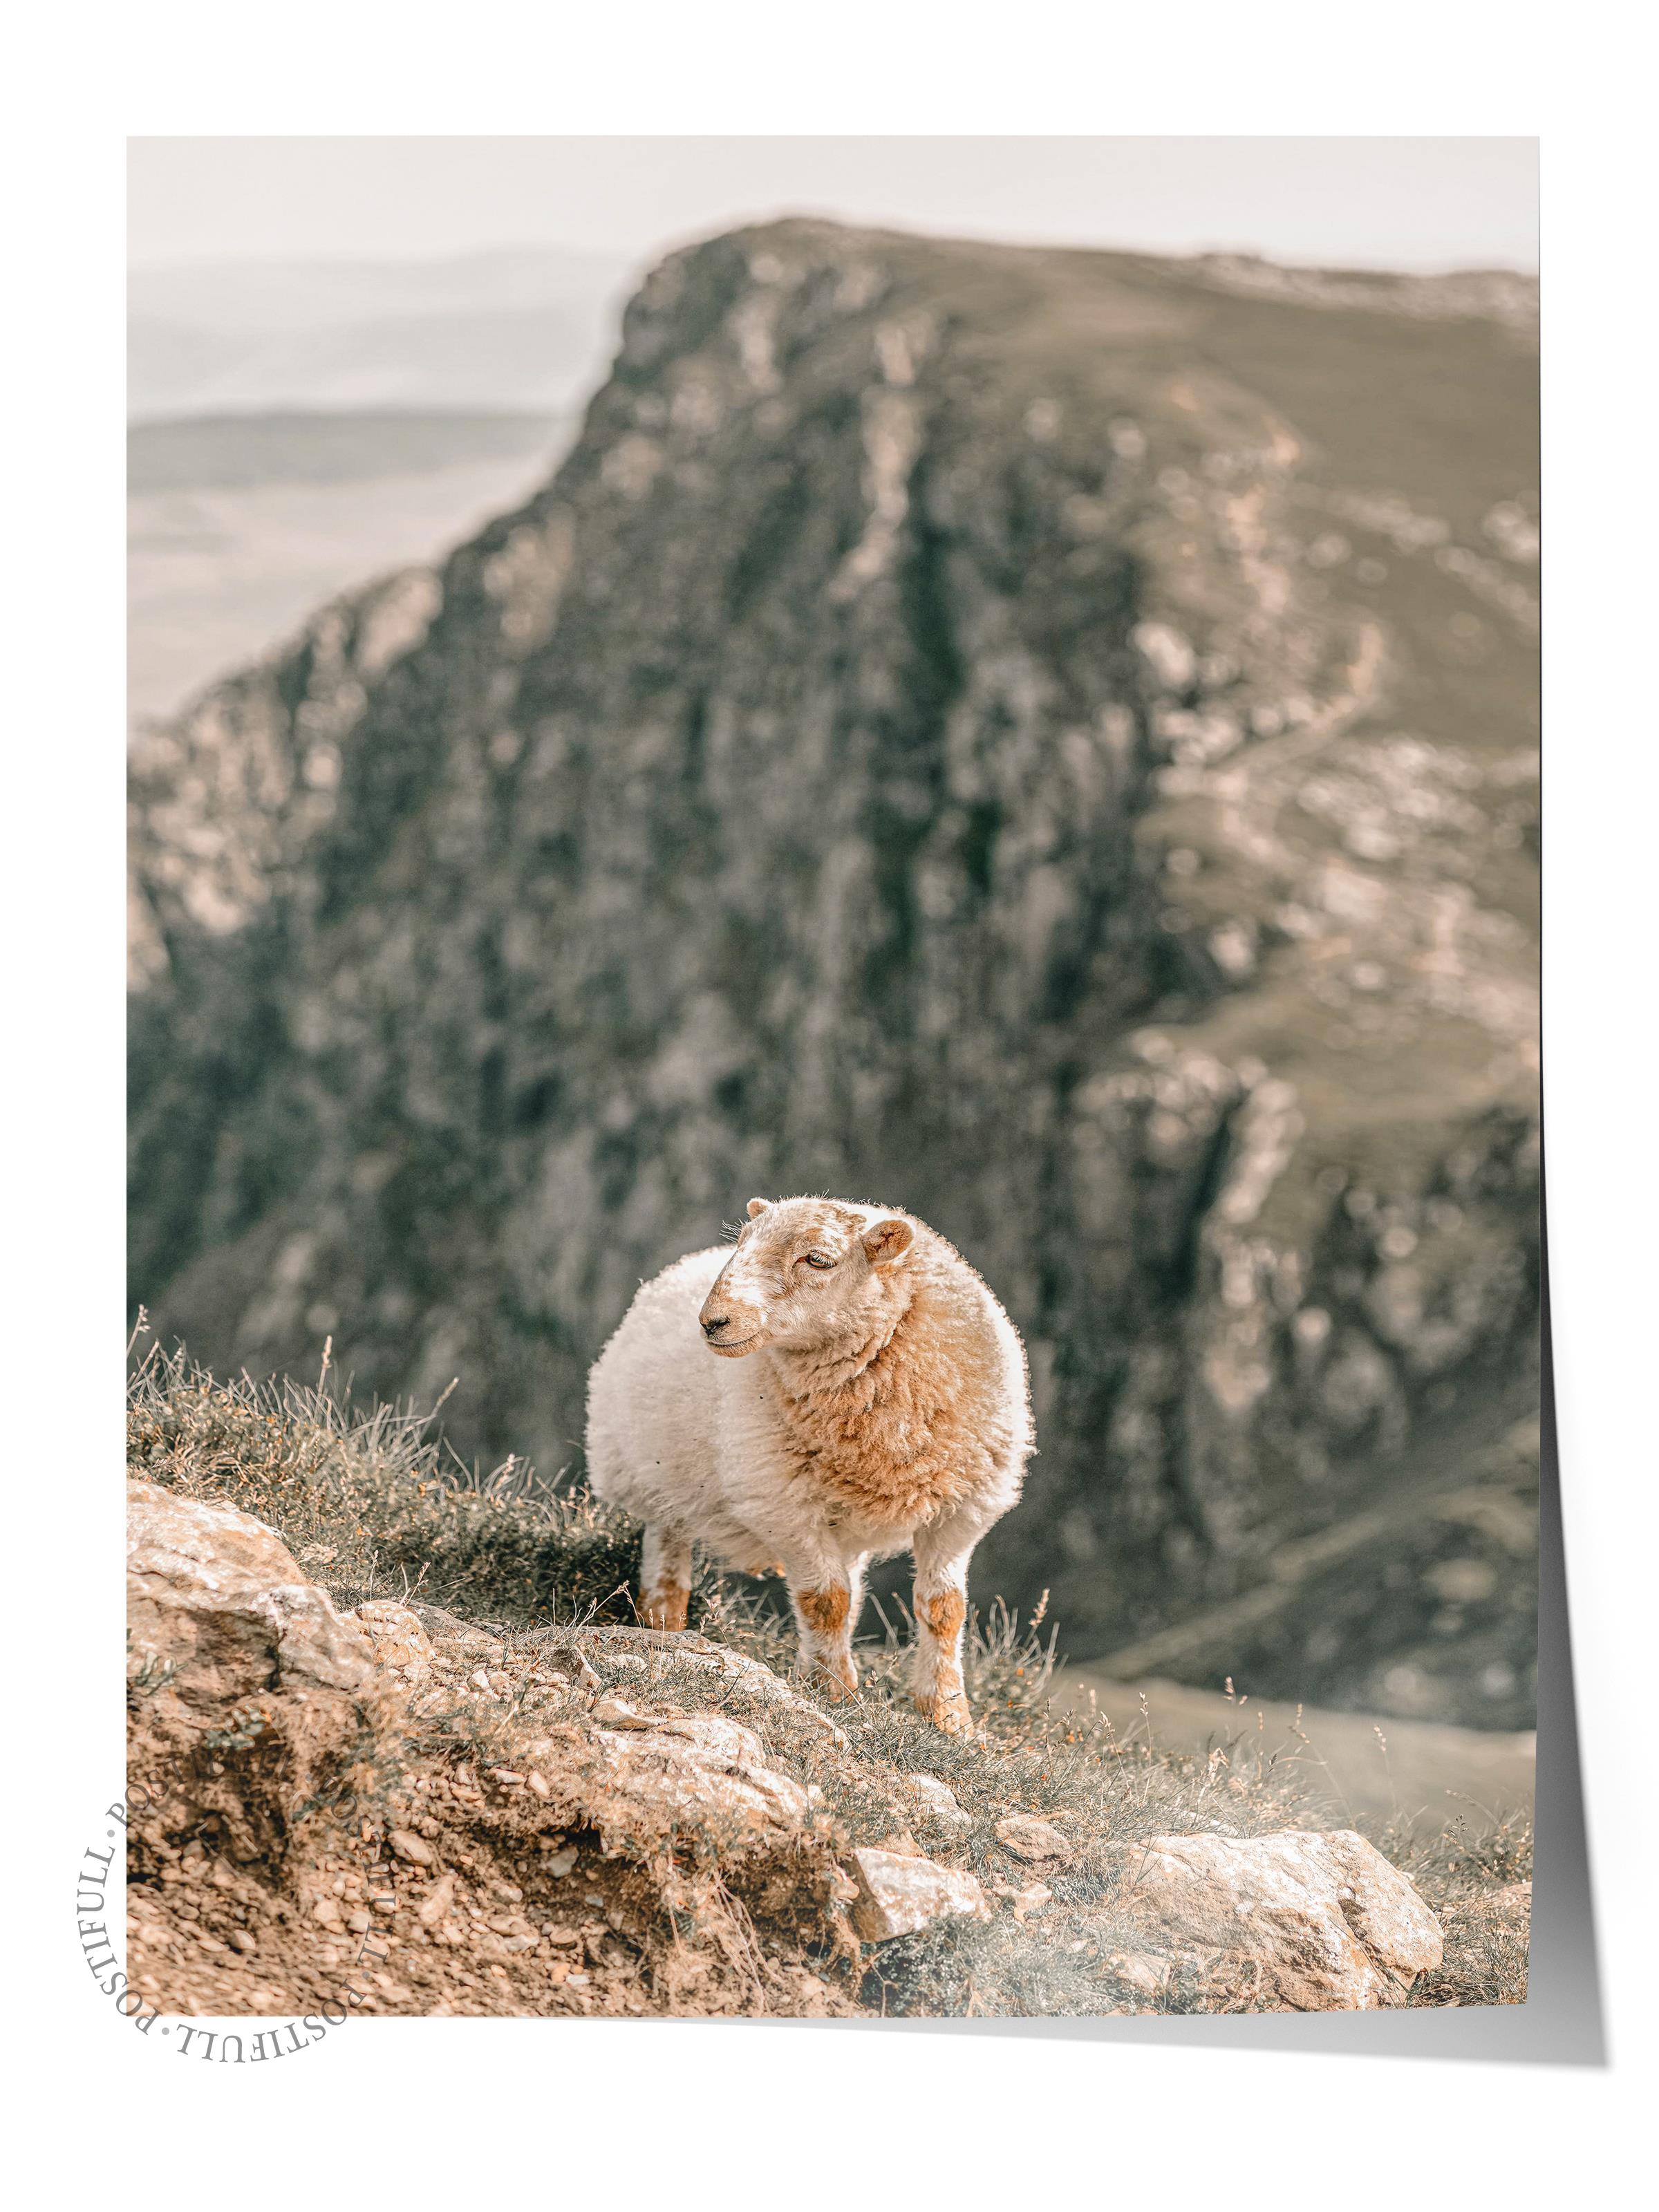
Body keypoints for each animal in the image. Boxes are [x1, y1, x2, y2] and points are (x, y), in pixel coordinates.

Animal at [579, 1194, 1026, 1725]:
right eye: (743, 1243)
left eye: (818, 1259)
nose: (713, 1322)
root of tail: (678, 1267)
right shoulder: (783, 1505)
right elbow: (825, 1602)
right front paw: (834, 1694)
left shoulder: (963, 1509)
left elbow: (944, 1609)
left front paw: (948, 1716)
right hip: (655, 1482)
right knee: (667, 1565)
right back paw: (664, 1630)